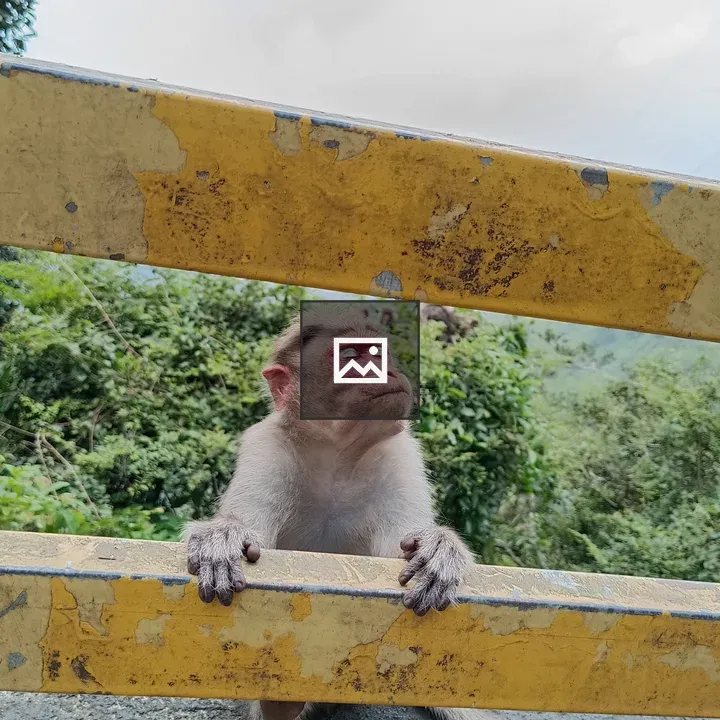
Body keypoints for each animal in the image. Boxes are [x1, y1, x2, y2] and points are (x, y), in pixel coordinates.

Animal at [185, 305, 482, 720]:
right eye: (351, 355)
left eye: (380, 354)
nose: (388, 372)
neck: (337, 455)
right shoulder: (266, 445)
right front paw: (222, 536)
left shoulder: (399, 455)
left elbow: (398, 554)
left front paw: (439, 548)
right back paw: (280, 700)